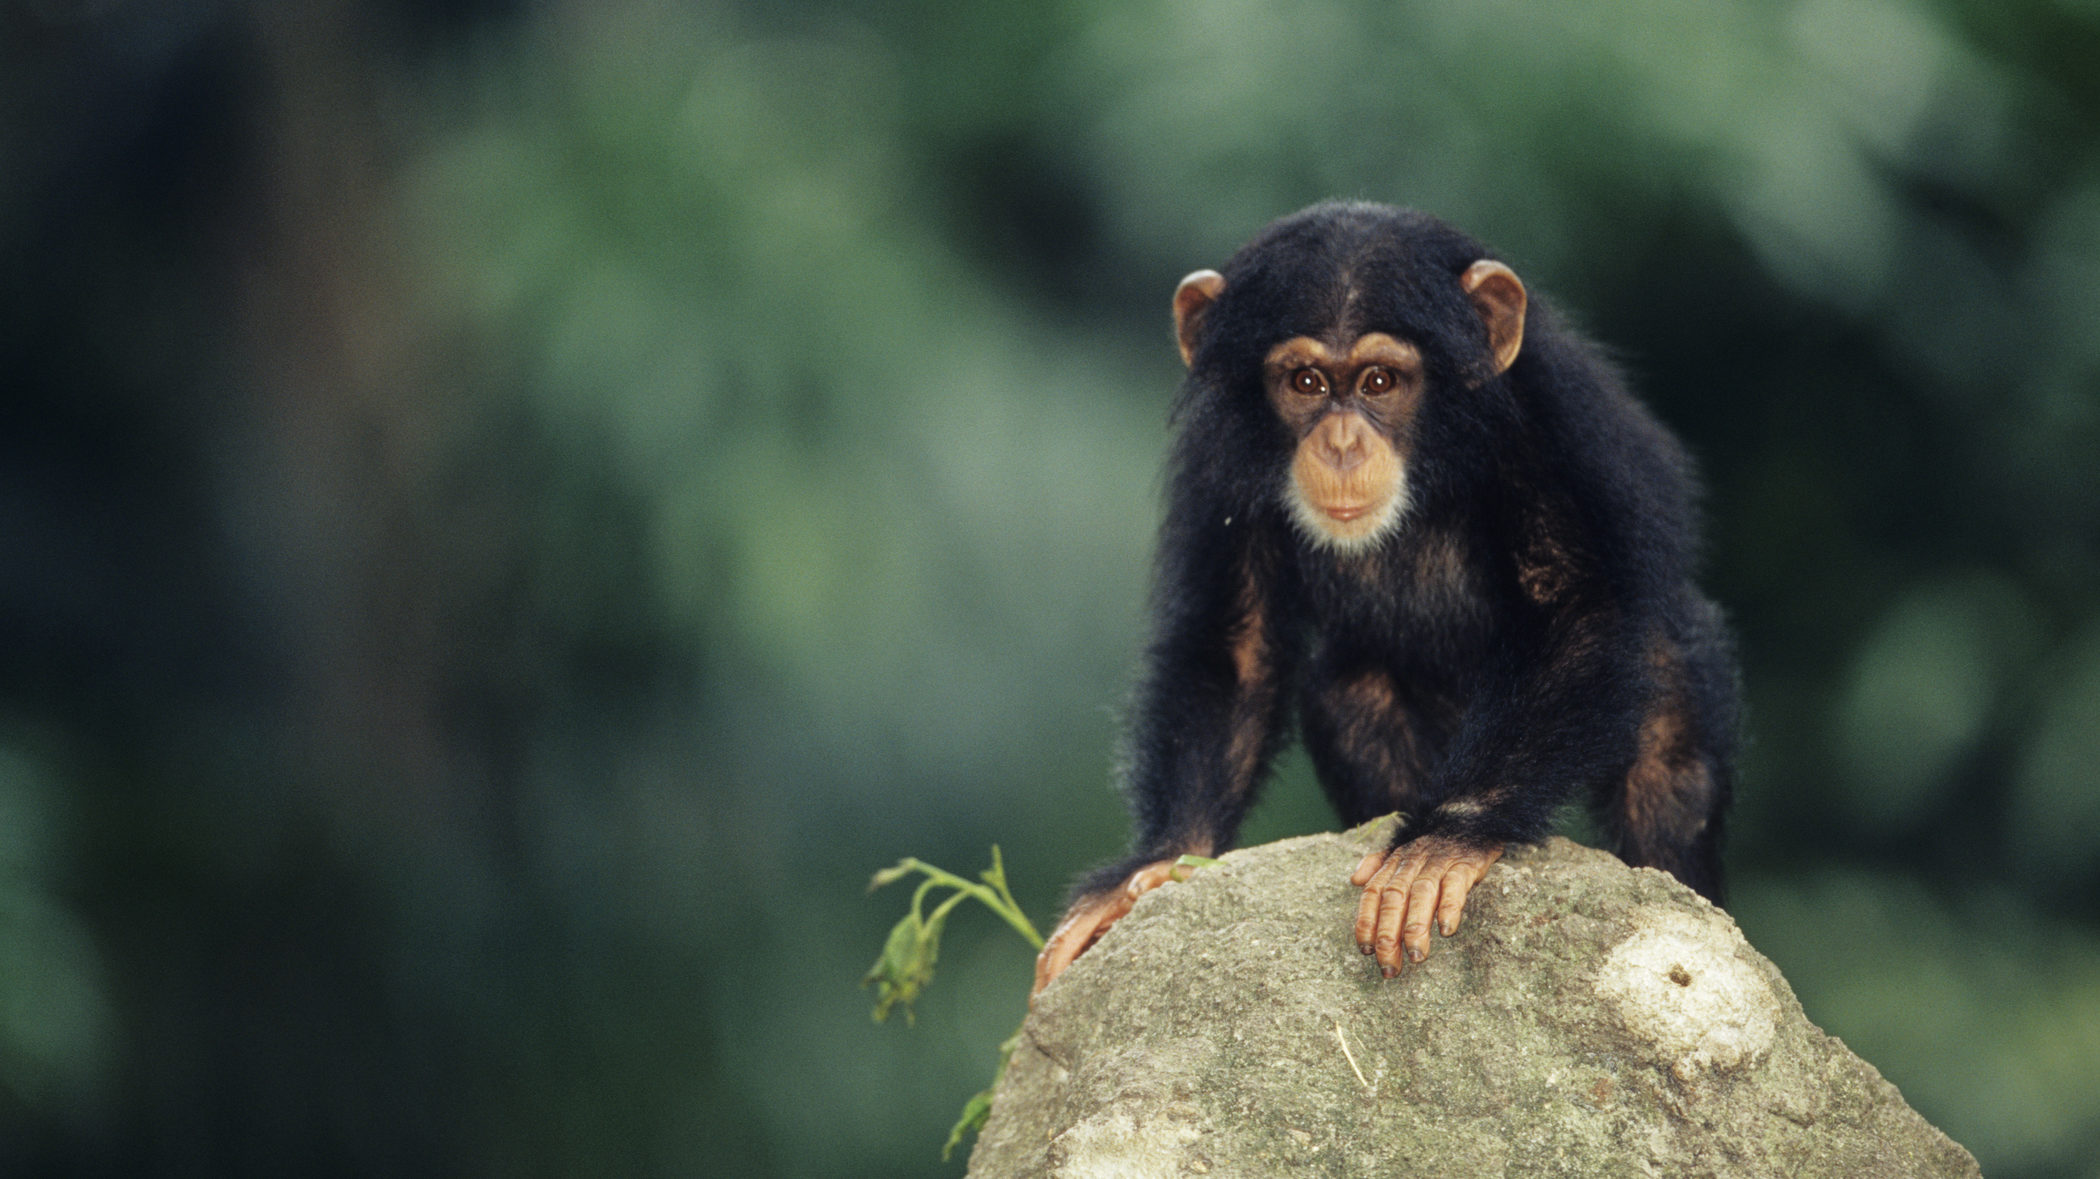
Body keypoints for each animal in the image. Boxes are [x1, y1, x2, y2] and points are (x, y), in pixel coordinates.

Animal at [1033, 201, 1738, 991]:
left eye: (1378, 381)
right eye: (1306, 381)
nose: (1341, 443)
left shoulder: (1547, 425)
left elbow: (1575, 612)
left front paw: (1441, 842)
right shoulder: (1217, 449)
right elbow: (1233, 640)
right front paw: (1158, 862)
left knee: (1666, 736)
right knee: (1352, 692)